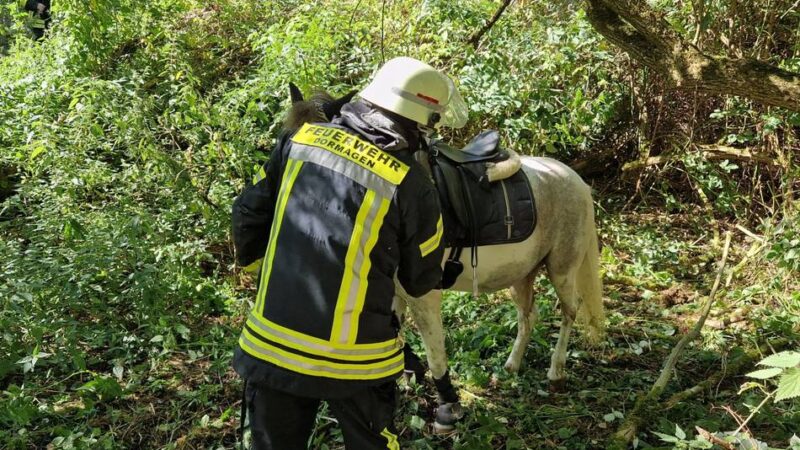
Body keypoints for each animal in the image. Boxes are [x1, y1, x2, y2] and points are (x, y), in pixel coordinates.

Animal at [281, 85, 605, 431]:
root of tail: (574, 178)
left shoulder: (424, 296)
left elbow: (435, 353)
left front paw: (447, 406)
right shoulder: (395, 294)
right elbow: (395, 337)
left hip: (562, 268)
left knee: (570, 312)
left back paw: (555, 372)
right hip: (521, 275)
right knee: (528, 316)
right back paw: (511, 365)